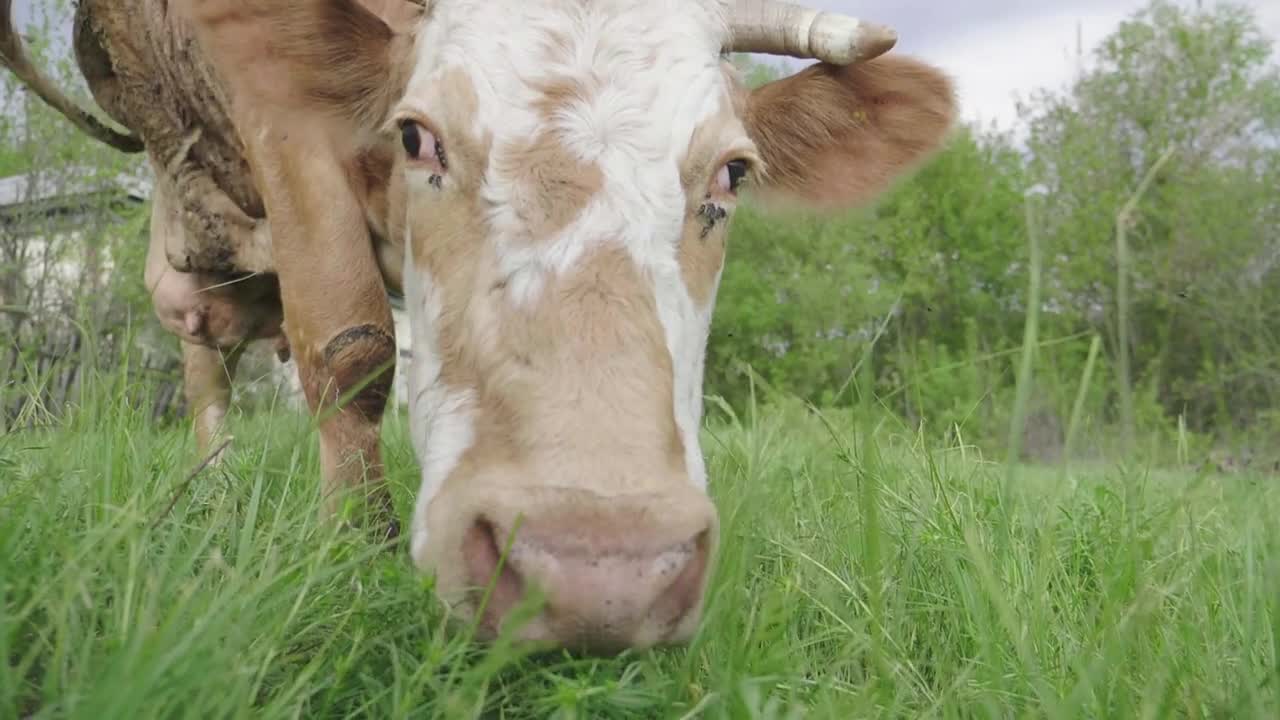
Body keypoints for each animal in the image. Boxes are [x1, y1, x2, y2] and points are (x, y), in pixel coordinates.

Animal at [2, 0, 962, 650]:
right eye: (417, 137)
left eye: (733, 172)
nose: (597, 572)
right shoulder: (284, 137)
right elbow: (351, 347)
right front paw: (356, 549)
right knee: (205, 366)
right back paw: (214, 485)